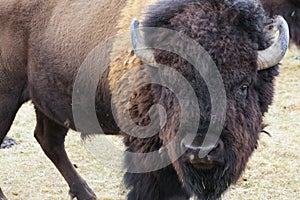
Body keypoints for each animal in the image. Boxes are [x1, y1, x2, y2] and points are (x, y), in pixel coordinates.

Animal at [0, 0, 290, 200]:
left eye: (243, 86)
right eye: (174, 85)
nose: (201, 150)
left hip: (50, 103)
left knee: (49, 140)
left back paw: (87, 193)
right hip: (8, 100)